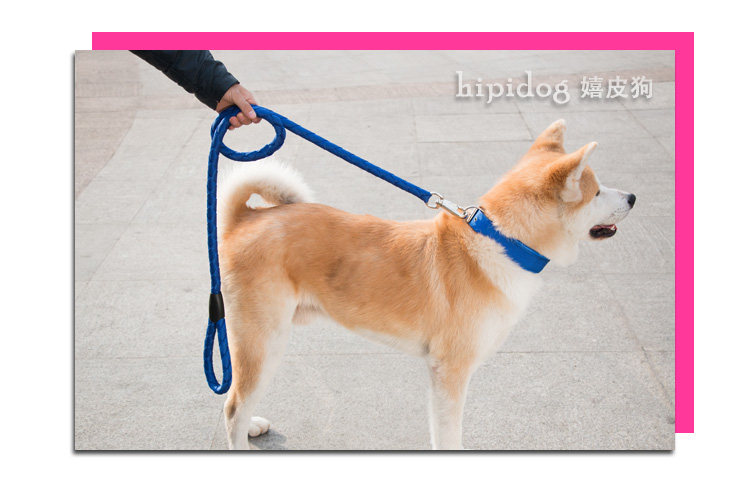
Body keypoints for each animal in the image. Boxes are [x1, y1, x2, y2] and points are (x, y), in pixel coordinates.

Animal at [217, 119, 635, 450]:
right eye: (596, 192)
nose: (633, 196)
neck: (501, 242)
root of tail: (246, 218)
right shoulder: (449, 371)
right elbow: (448, 436)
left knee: (237, 398)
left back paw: (252, 426)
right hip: (265, 338)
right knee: (234, 405)